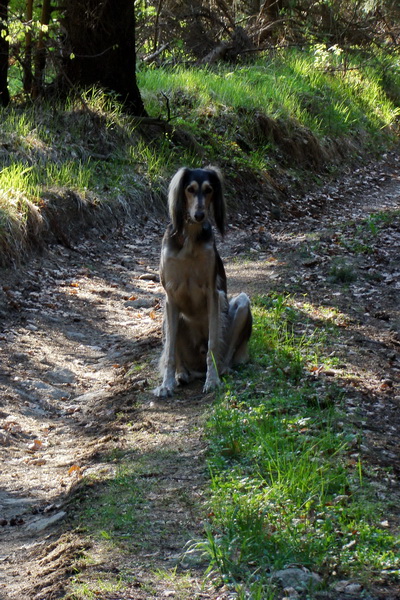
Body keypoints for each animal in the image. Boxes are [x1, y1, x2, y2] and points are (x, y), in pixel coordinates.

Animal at [154, 166, 252, 396]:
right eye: (190, 189)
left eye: (209, 190)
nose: (199, 215)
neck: (190, 237)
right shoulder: (170, 297)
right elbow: (170, 352)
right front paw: (166, 384)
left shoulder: (212, 293)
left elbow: (212, 345)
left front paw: (213, 380)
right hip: (167, 319)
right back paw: (181, 374)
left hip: (243, 304)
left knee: (224, 355)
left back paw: (221, 371)